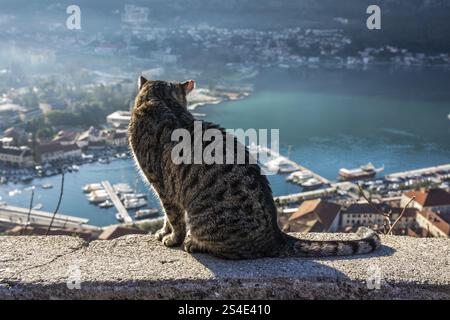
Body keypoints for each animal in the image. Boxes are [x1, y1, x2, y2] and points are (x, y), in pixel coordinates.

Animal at [129, 77, 380, 260]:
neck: (163, 102)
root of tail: (275, 236)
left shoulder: (162, 186)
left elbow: (173, 217)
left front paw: (173, 238)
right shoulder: (167, 189)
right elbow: (167, 216)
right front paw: (164, 232)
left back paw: (194, 243)